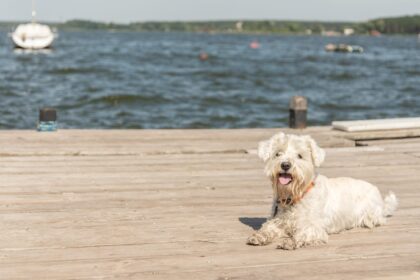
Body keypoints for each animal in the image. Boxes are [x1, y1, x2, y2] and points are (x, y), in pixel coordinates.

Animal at [246, 132, 398, 250]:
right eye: (278, 153)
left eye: (300, 156)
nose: (285, 165)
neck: (295, 195)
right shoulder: (278, 221)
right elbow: (268, 228)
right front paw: (259, 236)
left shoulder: (314, 227)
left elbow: (303, 234)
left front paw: (290, 242)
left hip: (370, 214)